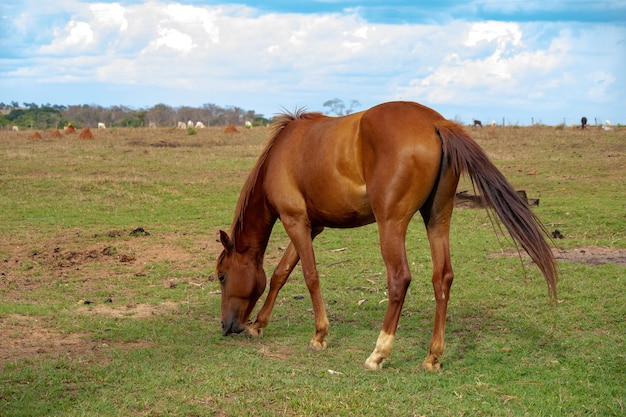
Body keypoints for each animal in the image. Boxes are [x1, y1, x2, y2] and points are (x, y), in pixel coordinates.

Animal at [216, 101, 556, 370]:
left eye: (221, 275)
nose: (227, 327)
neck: (281, 153)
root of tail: (436, 123)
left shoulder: (295, 221)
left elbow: (309, 276)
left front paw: (319, 335)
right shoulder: (312, 227)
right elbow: (280, 273)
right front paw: (260, 325)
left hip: (391, 224)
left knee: (399, 279)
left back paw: (378, 353)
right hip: (437, 218)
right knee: (442, 277)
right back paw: (433, 357)